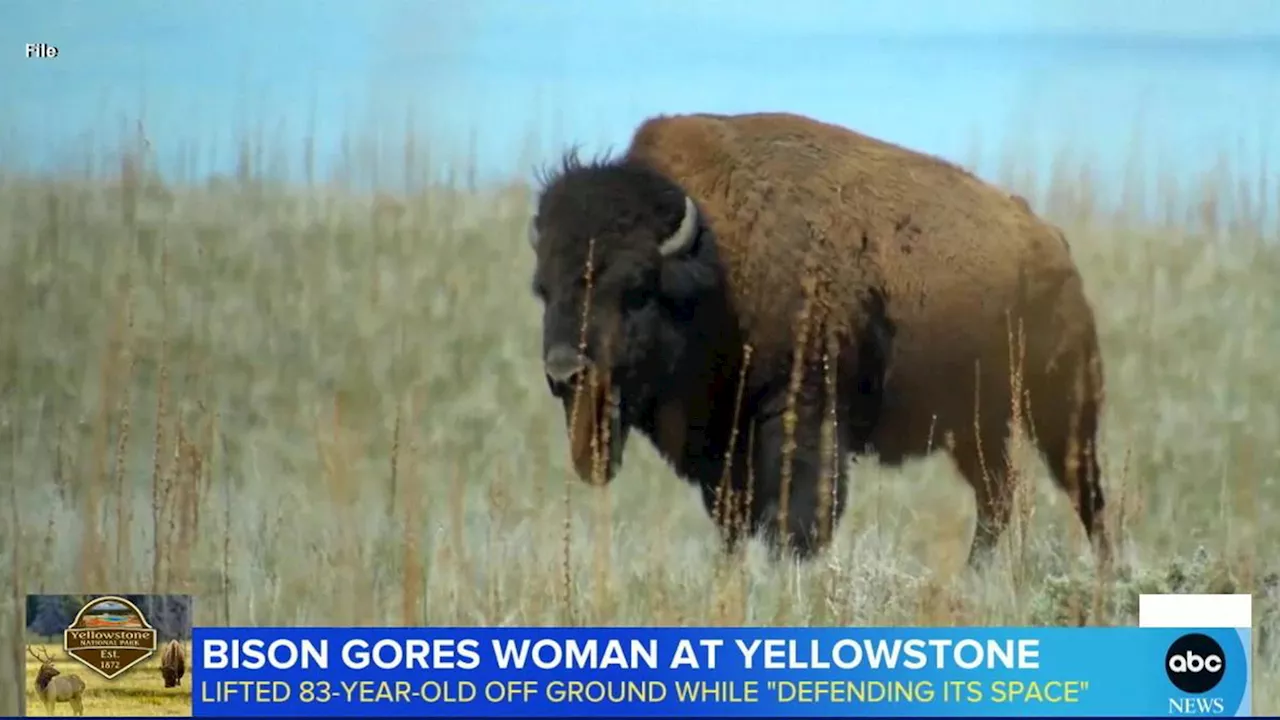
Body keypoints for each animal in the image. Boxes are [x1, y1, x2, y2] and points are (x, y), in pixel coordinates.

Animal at [524, 110, 1116, 566]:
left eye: (637, 289)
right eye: (543, 289)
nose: (563, 372)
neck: (716, 262)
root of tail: (1050, 241)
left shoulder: (799, 413)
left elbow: (796, 515)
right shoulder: (723, 449)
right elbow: (734, 520)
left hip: (1061, 411)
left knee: (1084, 492)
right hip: (976, 428)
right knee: (998, 496)